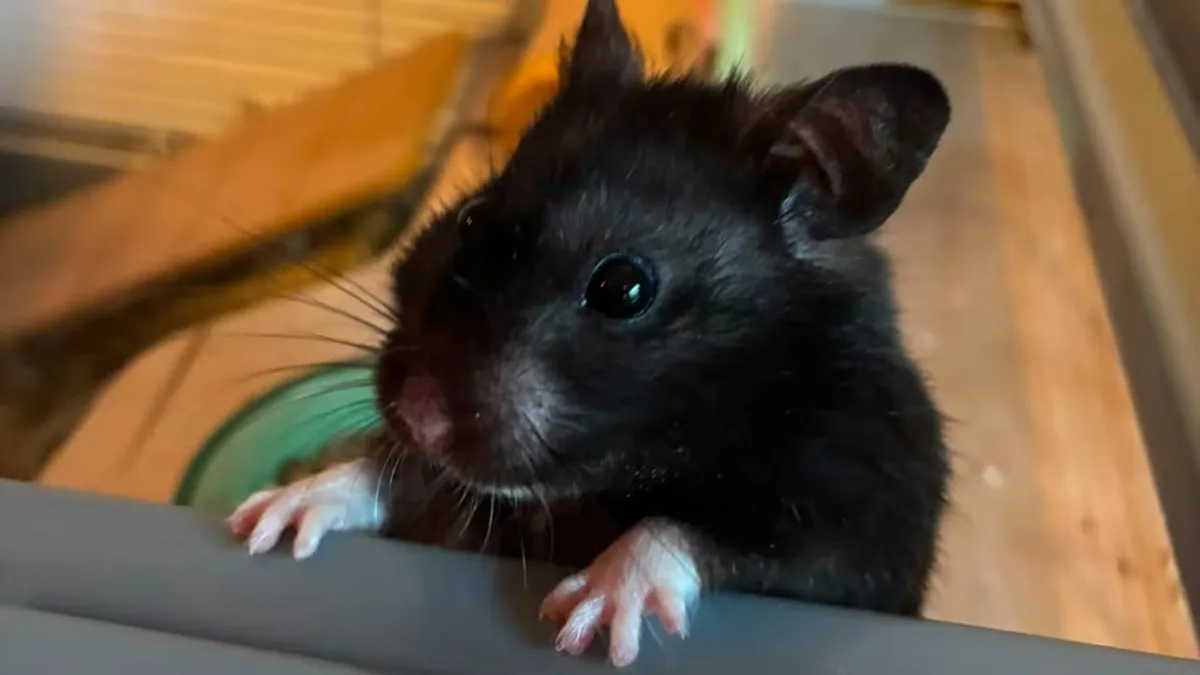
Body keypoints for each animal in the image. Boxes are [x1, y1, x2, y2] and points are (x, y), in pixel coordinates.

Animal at [228, 0, 953, 667]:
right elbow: (396, 476)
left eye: (623, 288)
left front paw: (584, 622)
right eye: (469, 220)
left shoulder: (859, 531)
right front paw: (269, 520)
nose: (421, 416)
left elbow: (690, 534)